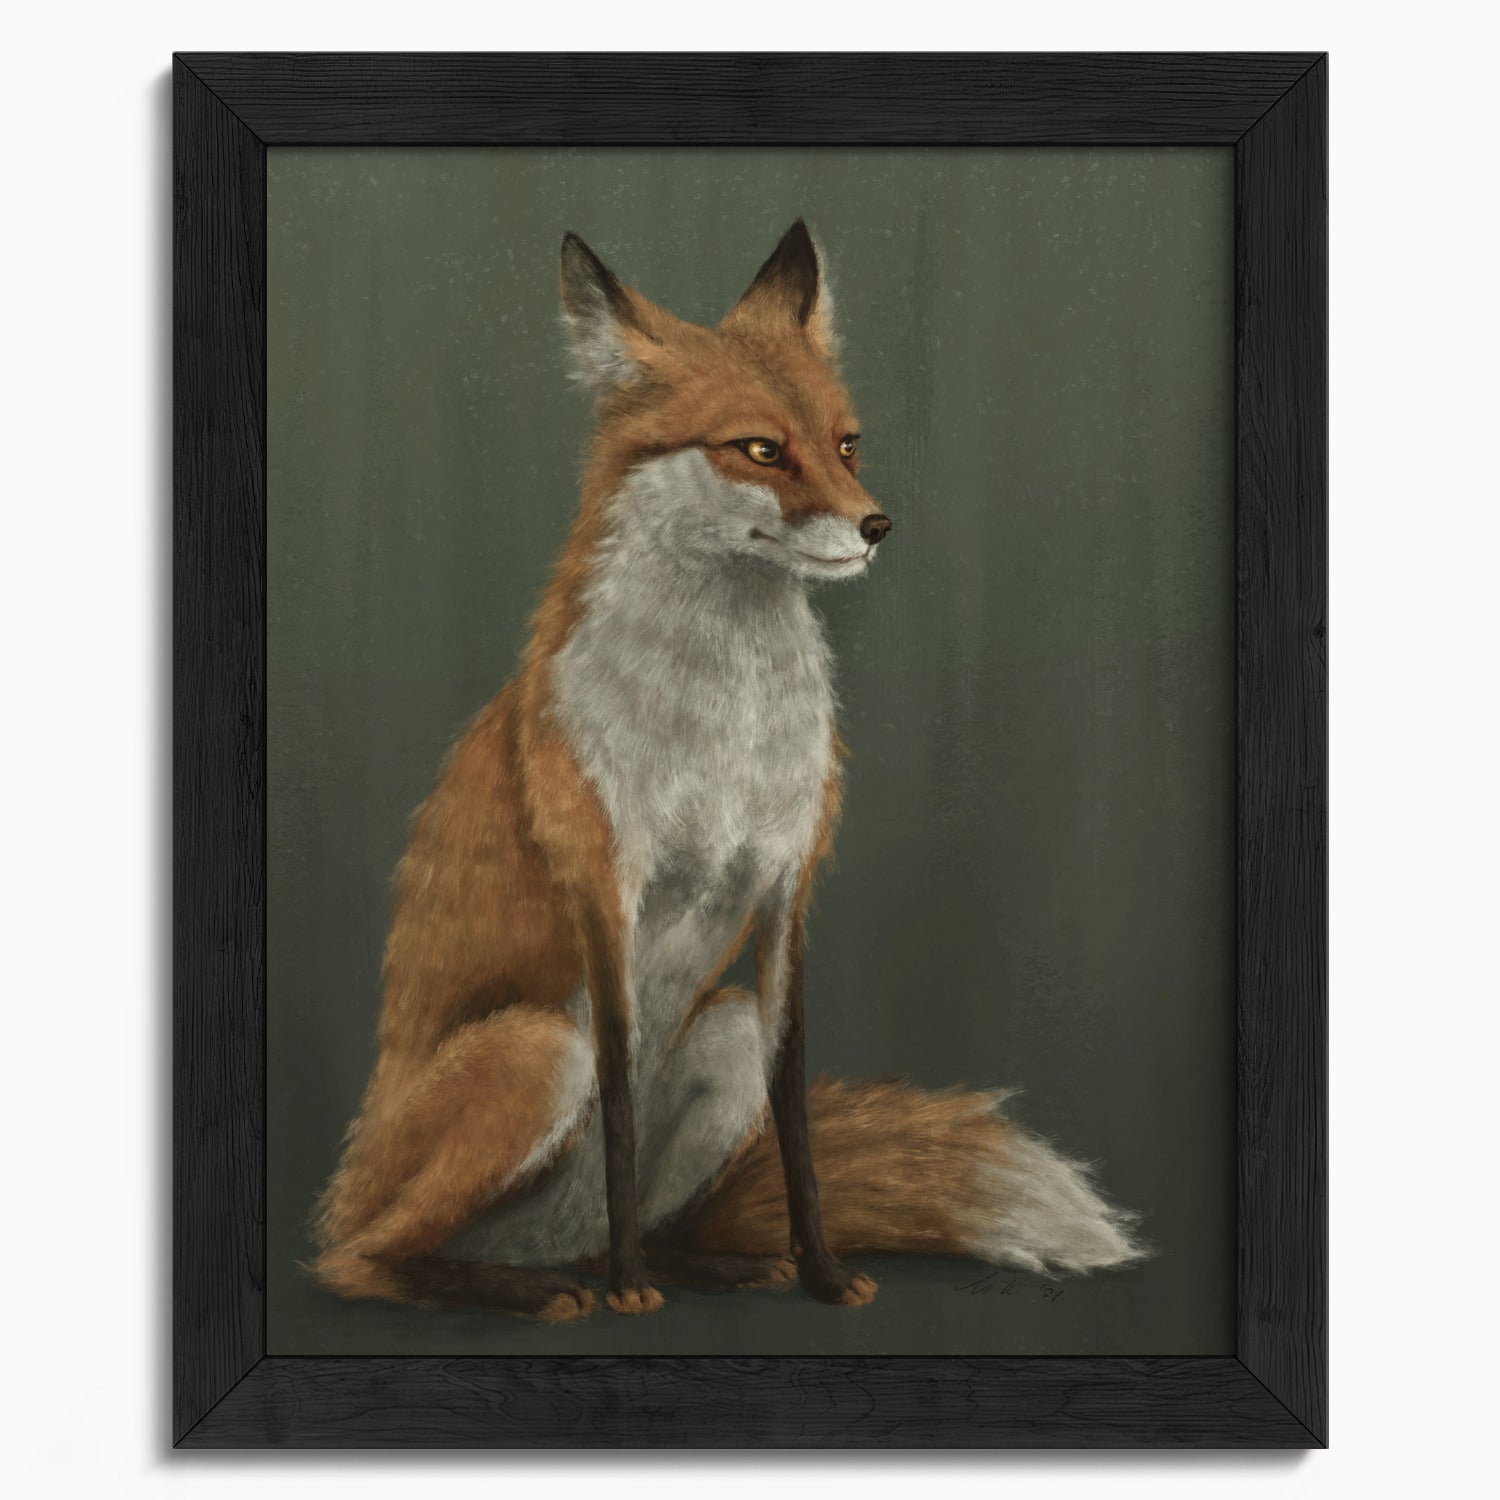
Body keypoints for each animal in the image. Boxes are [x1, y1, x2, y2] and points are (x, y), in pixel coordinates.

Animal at [312, 221, 1145, 1321]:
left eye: (846, 443)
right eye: (759, 449)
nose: (878, 525)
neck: (726, 731)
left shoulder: (787, 890)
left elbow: (794, 1116)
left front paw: (822, 1272)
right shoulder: (605, 892)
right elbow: (621, 1100)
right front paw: (630, 1292)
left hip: (722, 1033)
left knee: (638, 1215)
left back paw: (703, 1264)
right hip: (535, 1052)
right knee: (361, 1260)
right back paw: (541, 1287)